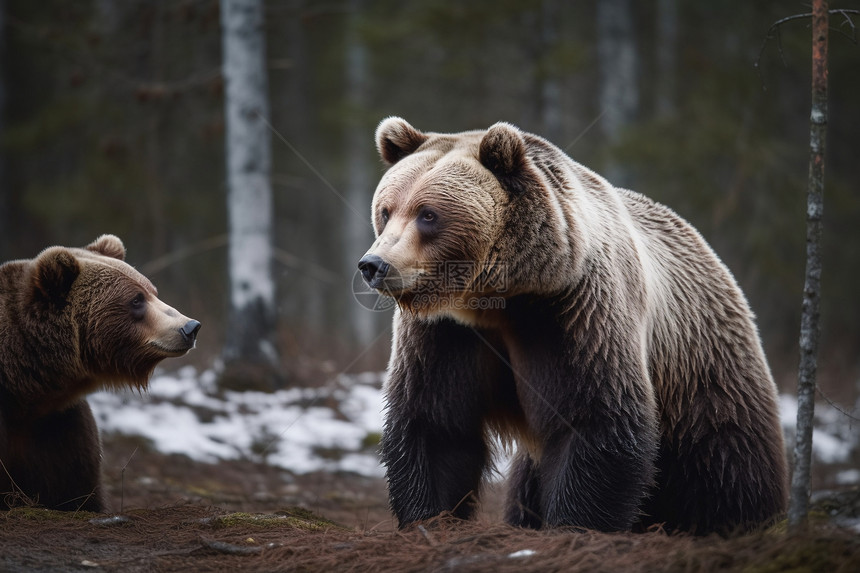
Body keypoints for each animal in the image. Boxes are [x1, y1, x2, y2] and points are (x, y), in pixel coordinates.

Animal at [360, 118, 788, 536]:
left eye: (428, 214)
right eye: (386, 210)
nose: (374, 265)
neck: (500, 298)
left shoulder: (575, 312)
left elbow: (594, 418)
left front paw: (575, 523)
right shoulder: (446, 332)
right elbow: (436, 421)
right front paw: (430, 519)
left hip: (702, 373)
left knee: (726, 463)